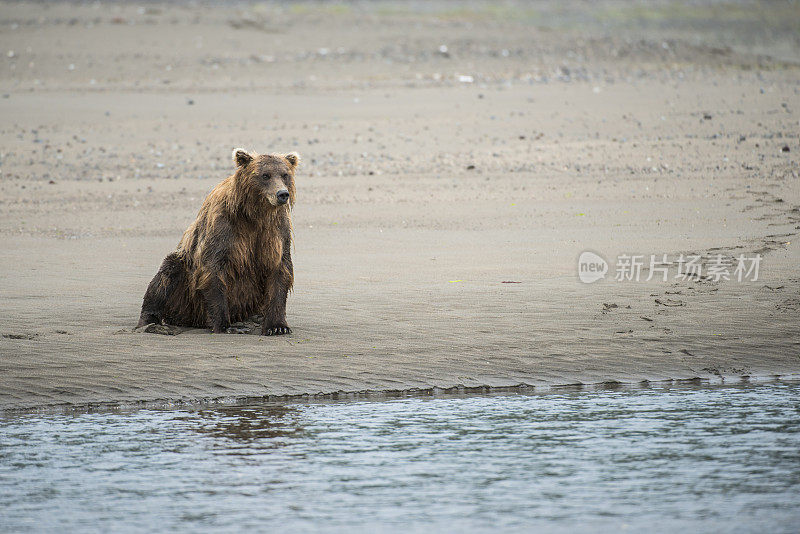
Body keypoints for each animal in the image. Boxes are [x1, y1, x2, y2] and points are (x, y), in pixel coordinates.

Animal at [138, 149, 300, 338]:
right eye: (265, 175)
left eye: (285, 174)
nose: (282, 194)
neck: (255, 214)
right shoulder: (223, 227)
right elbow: (213, 268)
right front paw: (227, 326)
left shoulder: (276, 231)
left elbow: (279, 269)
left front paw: (277, 326)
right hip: (186, 290)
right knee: (166, 275)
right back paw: (152, 323)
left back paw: (256, 318)